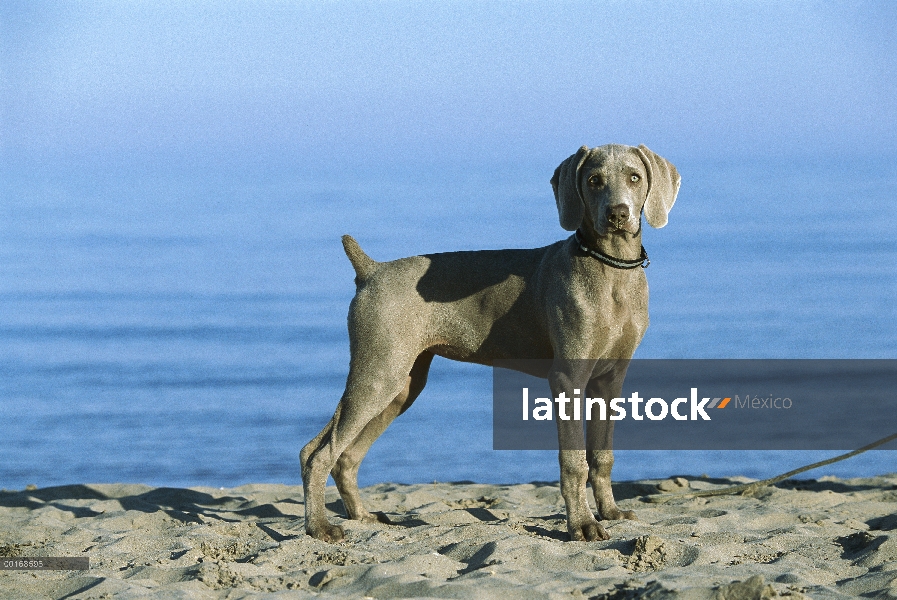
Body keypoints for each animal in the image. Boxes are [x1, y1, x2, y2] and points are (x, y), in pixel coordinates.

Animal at [300, 143, 680, 540]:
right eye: (594, 180)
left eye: (634, 177)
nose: (618, 214)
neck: (611, 269)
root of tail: (372, 270)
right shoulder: (567, 379)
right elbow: (574, 461)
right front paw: (582, 524)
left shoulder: (610, 379)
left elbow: (601, 456)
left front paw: (610, 513)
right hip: (379, 373)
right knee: (316, 453)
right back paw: (319, 527)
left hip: (402, 384)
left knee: (346, 455)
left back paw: (362, 516)